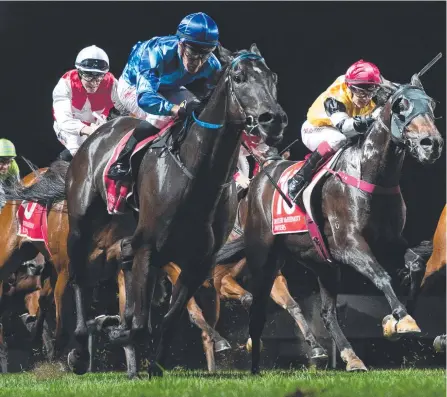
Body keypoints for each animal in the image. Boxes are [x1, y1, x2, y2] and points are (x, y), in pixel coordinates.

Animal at [217, 75, 444, 374]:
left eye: (431, 104)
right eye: (400, 106)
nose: (432, 143)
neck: (371, 176)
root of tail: (258, 179)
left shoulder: (390, 242)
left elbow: (416, 266)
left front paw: (399, 319)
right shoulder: (348, 245)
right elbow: (381, 276)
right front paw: (401, 320)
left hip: (321, 264)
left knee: (327, 313)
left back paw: (352, 357)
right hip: (266, 258)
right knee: (257, 304)